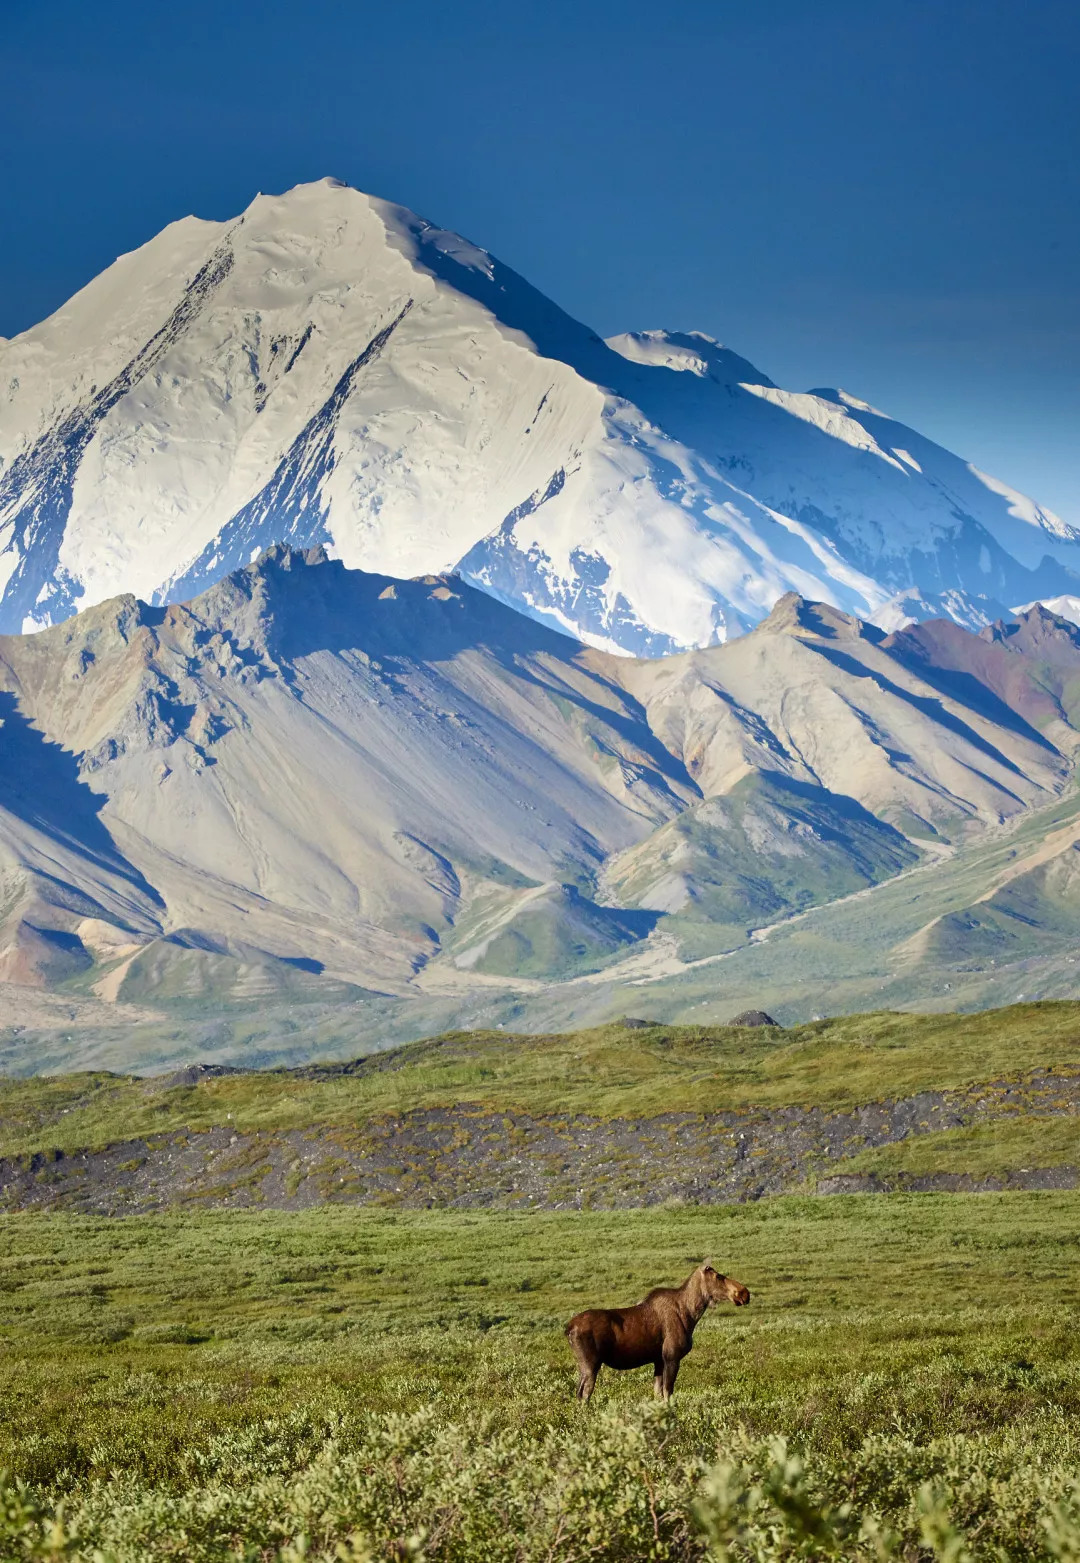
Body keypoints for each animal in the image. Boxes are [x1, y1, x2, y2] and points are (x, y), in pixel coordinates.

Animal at [565, 1256, 753, 1406]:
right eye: (718, 1276)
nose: (744, 1293)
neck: (691, 1315)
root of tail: (568, 1328)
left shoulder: (658, 1360)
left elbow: (658, 1393)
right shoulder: (671, 1356)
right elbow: (668, 1393)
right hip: (591, 1363)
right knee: (583, 1394)